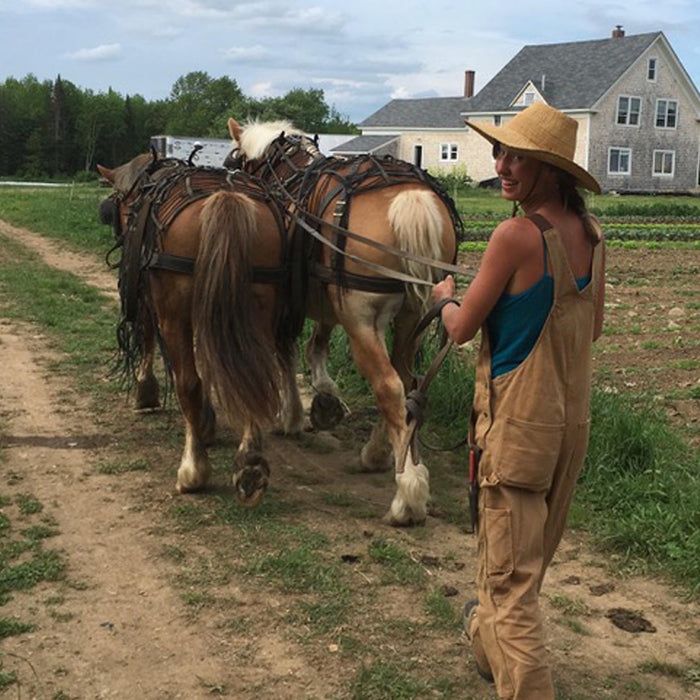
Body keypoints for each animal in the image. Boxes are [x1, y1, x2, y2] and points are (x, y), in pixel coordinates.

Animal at [97, 153, 297, 505]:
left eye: (120, 204)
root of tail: (226, 199)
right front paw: (208, 421)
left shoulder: (153, 303)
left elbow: (152, 341)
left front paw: (146, 392)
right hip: (256, 309)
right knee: (255, 377)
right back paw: (250, 463)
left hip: (176, 314)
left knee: (188, 382)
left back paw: (192, 469)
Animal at [226, 118, 463, 525]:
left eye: (238, 159)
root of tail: (411, 198)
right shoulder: (326, 301)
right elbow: (316, 343)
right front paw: (323, 399)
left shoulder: (287, 304)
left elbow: (286, 354)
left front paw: (291, 415)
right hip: (410, 317)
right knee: (403, 381)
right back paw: (377, 454)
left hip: (363, 321)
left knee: (388, 385)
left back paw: (408, 493)